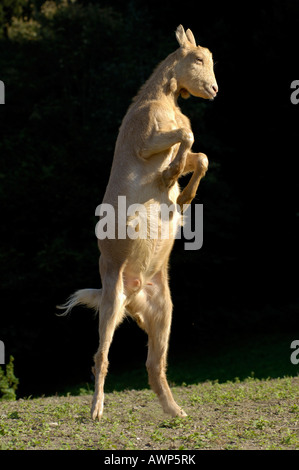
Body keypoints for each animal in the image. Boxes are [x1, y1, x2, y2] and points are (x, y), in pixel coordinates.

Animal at [58, 25, 218, 420]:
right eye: (198, 58)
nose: (213, 89)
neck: (160, 101)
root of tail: (132, 294)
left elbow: (200, 156)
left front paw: (182, 195)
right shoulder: (146, 141)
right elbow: (187, 137)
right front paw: (170, 178)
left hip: (162, 310)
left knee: (154, 365)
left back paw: (176, 412)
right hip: (110, 300)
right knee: (101, 357)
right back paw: (96, 411)